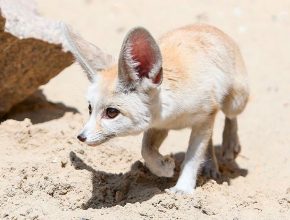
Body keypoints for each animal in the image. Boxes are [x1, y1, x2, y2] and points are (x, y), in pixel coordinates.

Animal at [63, 23, 249, 193]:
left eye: (111, 112)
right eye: (90, 108)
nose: (80, 137)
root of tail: (207, 25)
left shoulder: (204, 117)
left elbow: (193, 158)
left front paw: (182, 188)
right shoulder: (159, 126)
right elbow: (146, 150)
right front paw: (164, 167)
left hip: (235, 102)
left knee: (230, 117)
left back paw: (230, 143)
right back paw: (211, 164)